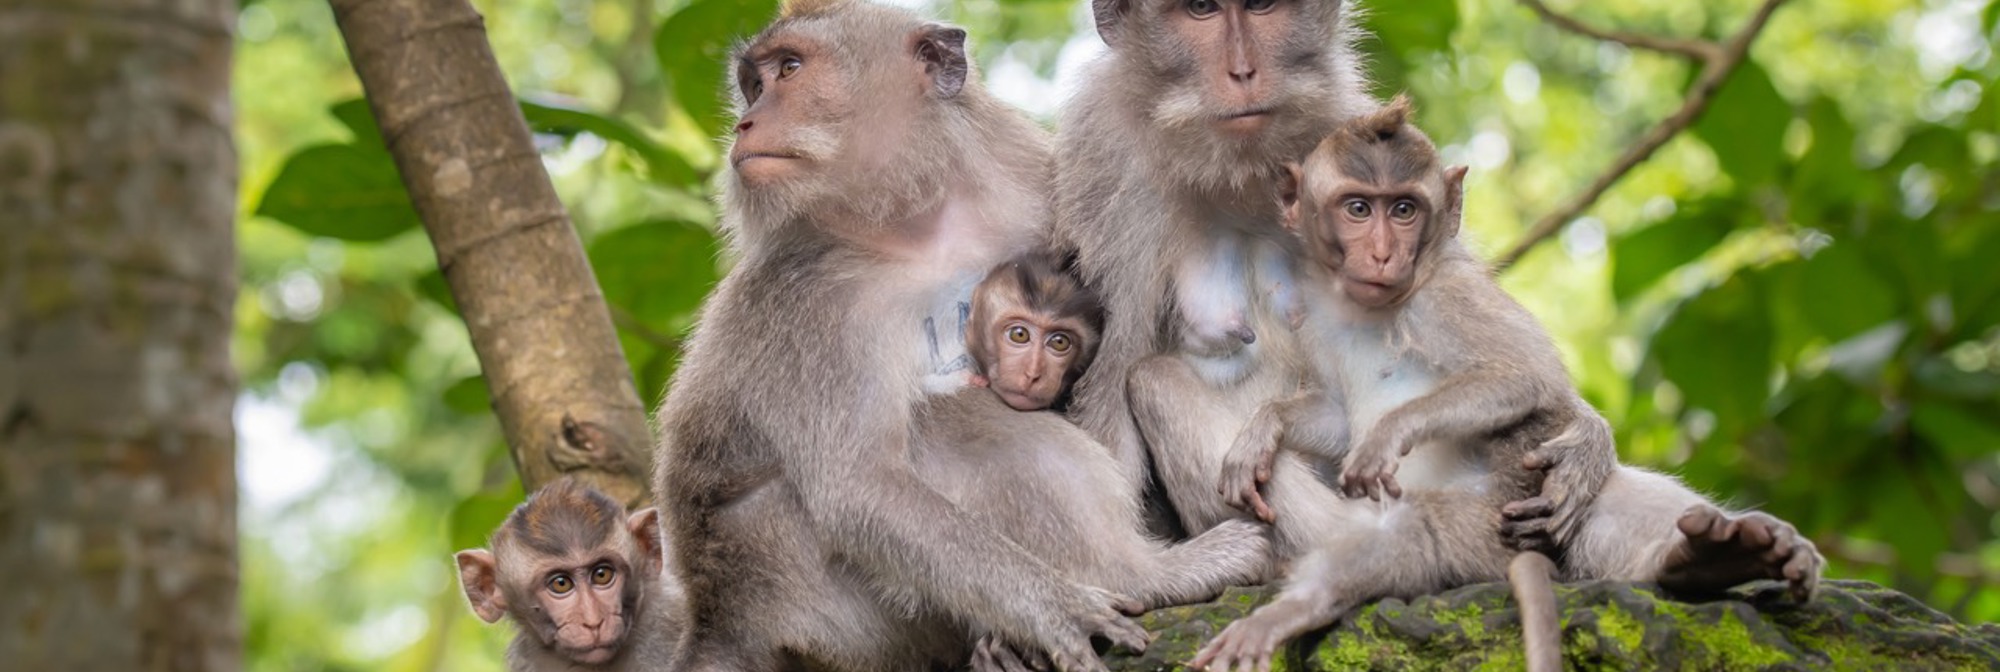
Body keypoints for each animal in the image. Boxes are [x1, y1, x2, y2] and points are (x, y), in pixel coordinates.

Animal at [1192, 98, 1824, 672]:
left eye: (1404, 209)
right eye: (1358, 208)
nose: (1383, 252)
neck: (1369, 307)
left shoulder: (1448, 295)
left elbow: (1525, 379)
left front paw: (1390, 433)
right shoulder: (1313, 313)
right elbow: (1337, 418)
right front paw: (1263, 428)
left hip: (1492, 525)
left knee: (1418, 530)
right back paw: (1704, 557)